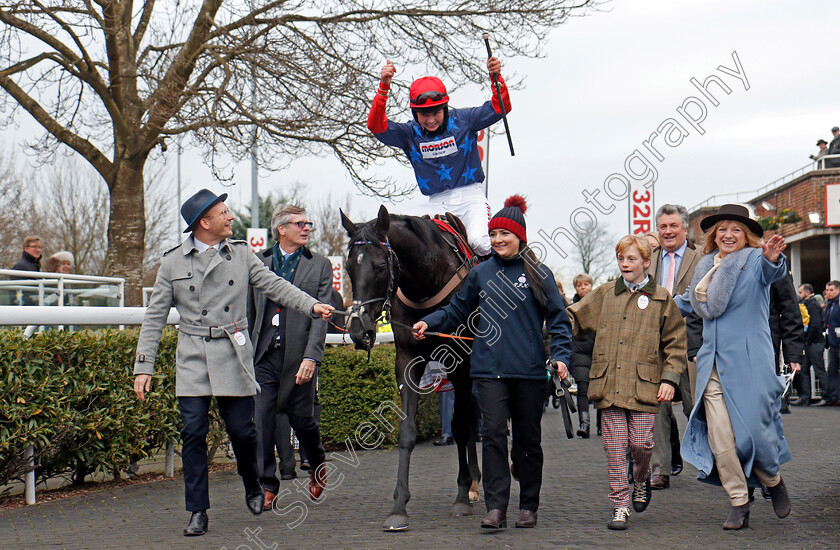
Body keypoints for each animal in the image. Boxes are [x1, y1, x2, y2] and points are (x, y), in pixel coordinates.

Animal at [340, 206, 480, 532]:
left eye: (380, 267)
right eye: (349, 267)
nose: (359, 330)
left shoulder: (461, 362)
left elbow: (459, 425)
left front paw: (460, 497)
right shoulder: (406, 360)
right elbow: (406, 432)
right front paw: (398, 506)